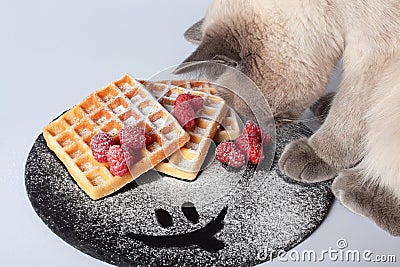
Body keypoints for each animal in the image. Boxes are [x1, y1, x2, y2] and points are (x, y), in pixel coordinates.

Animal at [180, 0, 400, 236]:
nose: (249, 127)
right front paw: (327, 107)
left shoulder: (375, 52)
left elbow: (349, 111)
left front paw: (315, 153)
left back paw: (355, 189)